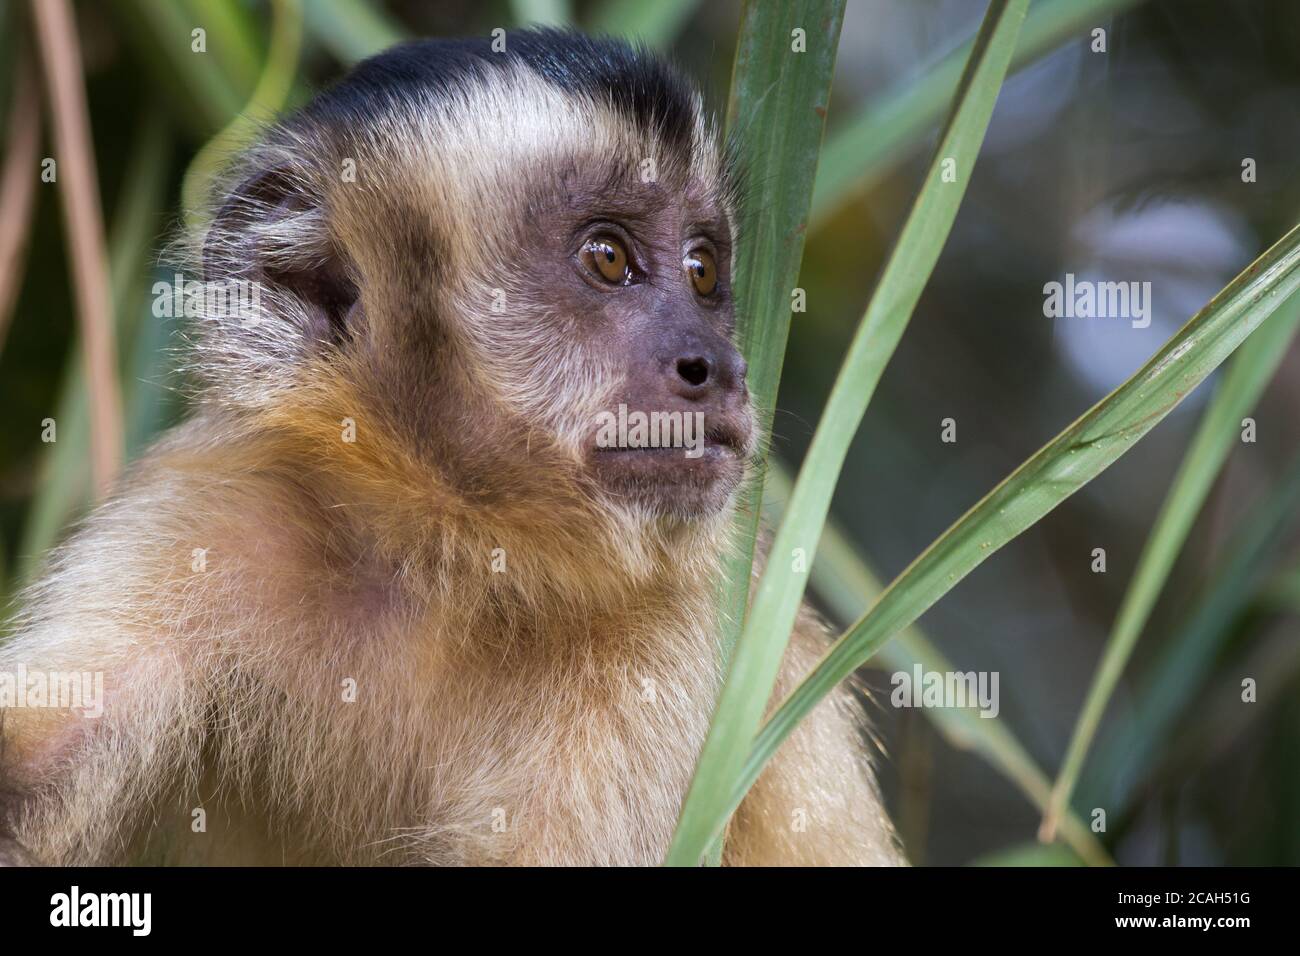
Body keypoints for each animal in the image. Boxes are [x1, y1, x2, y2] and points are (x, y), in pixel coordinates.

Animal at [0, 29, 904, 866]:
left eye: (704, 271)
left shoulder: (683, 630)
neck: (444, 549)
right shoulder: (211, 505)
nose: (718, 366)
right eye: (608, 258)